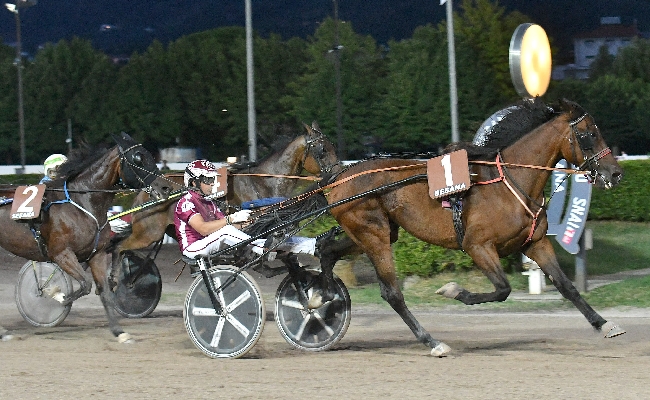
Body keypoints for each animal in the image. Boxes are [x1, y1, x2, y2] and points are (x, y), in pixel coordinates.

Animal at [0, 133, 170, 342]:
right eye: (138, 158)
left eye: (151, 155)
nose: (165, 187)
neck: (81, 204)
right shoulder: (61, 253)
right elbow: (85, 284)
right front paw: (56, 294)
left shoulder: (97, 254)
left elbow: (104, 291)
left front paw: (119, 331)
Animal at [314, 100, 624, 356]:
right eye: (588, 134)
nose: (616, 173)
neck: (509, 184)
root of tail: (338, 176)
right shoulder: (477, 245)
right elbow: (502, 289)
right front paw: (453, 290)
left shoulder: (535, 243)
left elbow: (567, 286)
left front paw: (604, 324)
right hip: (372, 233)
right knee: (392, 293)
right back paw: (432, 341)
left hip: (377, 233)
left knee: (326, 249)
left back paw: (321, 296)